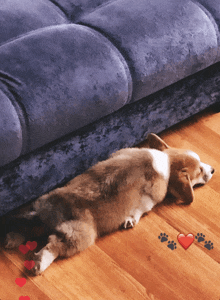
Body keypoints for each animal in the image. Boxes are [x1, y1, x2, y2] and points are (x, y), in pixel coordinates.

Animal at [3, 135, 215, 276]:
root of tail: (58, 205)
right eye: (200, 170)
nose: (213, 169)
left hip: (42, 214)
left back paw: (11, 239)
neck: (167, 161)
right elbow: (140, 210)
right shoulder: (149, 199)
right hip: (80, 235)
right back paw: (39, 264)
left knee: (30, 227)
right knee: (53, 245)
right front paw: (130, 220)